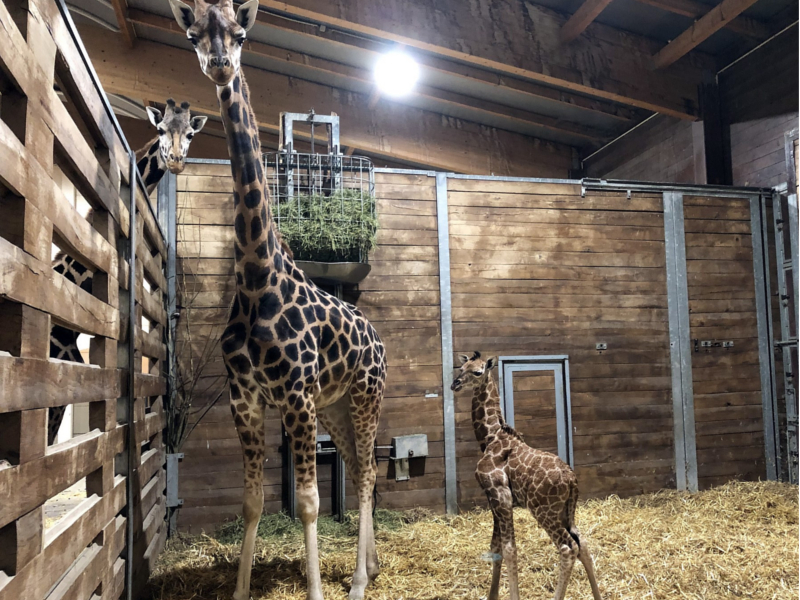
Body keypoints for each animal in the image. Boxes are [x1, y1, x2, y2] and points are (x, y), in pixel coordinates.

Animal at [167, 1, 386, 600]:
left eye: (240, 34)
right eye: (193, 33)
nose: (220, 65)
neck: (257, 279)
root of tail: (378, 339)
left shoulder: (294, 395)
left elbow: (308, 503)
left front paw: (315, 590)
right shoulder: (247, 398)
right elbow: (253, 501)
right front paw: (241, 589)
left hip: (365, 394)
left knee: (367, 471)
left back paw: (360, 581)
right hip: (335, 404)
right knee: (358, 465)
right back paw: (370, 564)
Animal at [450, 352, 600, 600]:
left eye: (478, 372)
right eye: (461, 368)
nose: (455, 384)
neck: (490, 437)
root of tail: (572, 481)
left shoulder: (500, 495)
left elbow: (510, 549)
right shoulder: (494, 500)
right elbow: (496, 548)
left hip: (544, 511)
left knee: (568, 547)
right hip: (565, 511)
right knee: (582, 542)